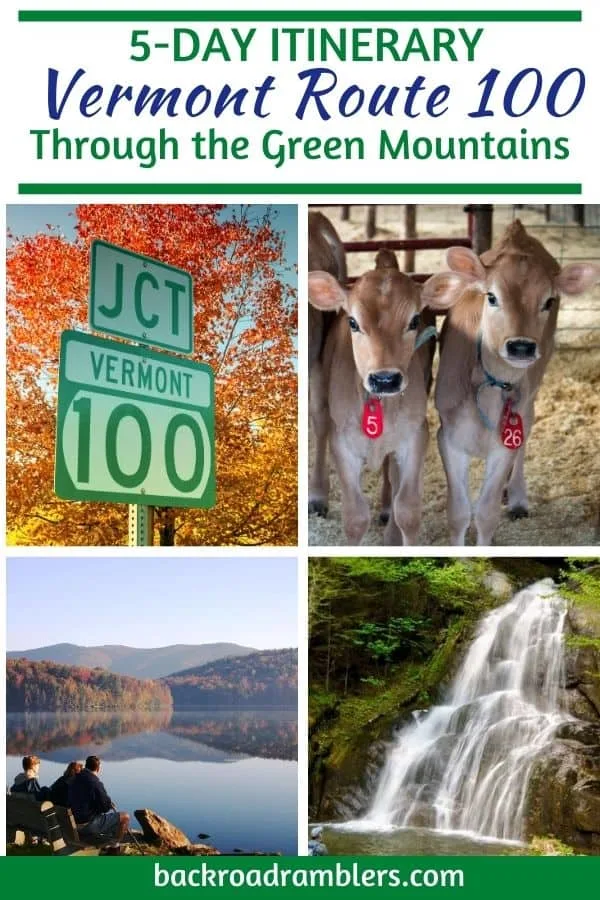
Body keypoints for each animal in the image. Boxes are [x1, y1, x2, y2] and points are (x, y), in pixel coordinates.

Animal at [432, 220, 600, 540]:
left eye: (549, 300)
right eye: (491, 297)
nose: (521, 347)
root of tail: (517, 232)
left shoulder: (504, 445)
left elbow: (485, 514)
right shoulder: (448, 436)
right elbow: (458, 513)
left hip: (532, 391)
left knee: (528, 425)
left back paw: (517, 497)